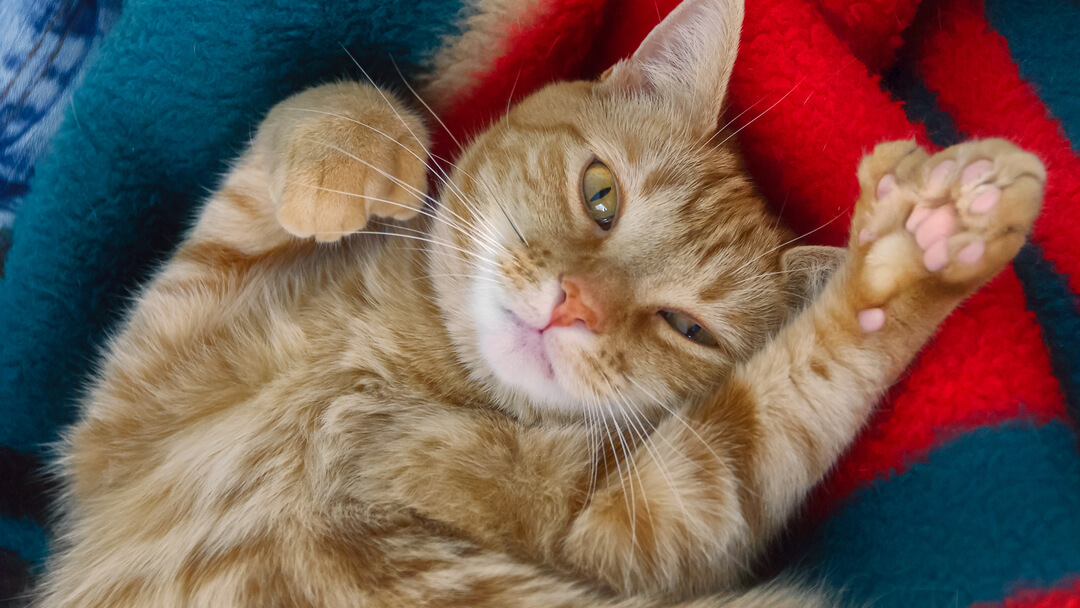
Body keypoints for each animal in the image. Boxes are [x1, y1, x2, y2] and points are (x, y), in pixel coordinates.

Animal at [33, 0, 1045, 604]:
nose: (574, 307)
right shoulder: (126, 413)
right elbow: (307, 123)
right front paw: (355, 155)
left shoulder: (652, 526)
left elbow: (772, 411)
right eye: (601, 196)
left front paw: (920, 251)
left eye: (688, 327)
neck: (405, 367)